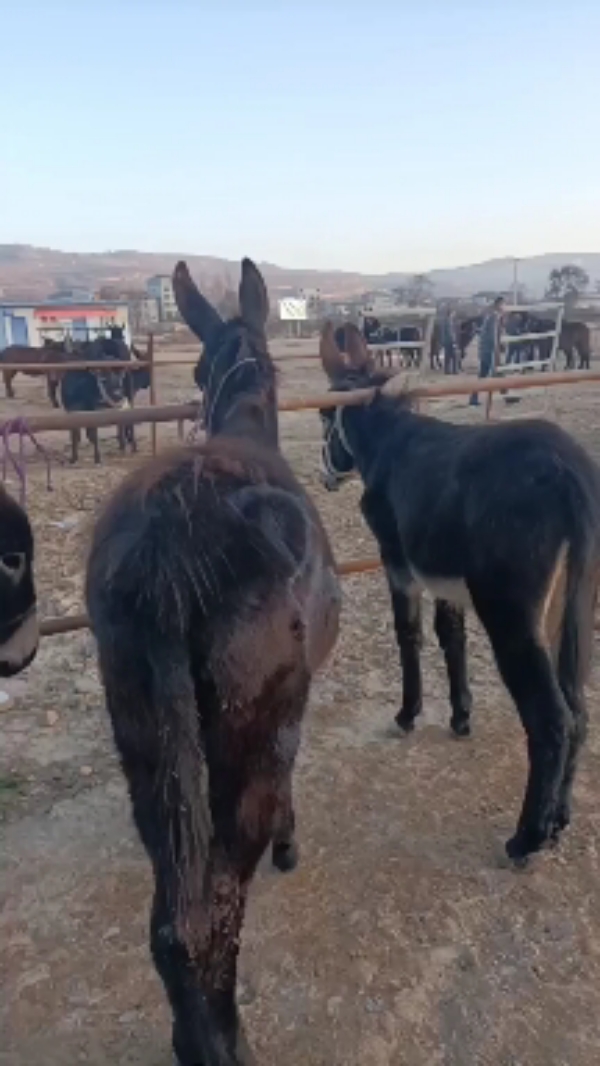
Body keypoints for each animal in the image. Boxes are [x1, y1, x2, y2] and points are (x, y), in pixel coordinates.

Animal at [83, 257, 343, 1066]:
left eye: (197, 369)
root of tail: (172, 547)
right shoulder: (289, 710)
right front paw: (291, 843)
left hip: (143, 733)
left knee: (172, 919)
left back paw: (188, 1037)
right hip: (242, 737)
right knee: (218, 903)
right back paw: (226, 1044)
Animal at [321, 321, 600, 865]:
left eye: (325, 414)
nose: (325, 477)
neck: (389, 444)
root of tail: (569, 471)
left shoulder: (398, 564)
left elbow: (409, 635)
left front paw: (408, 714)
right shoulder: (444, 577)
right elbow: (451, 636)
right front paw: (460, 716)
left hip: (511, 612)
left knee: (552, 719)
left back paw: (526, 839)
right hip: (573, 603)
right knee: (577, 708)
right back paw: (558, 821)